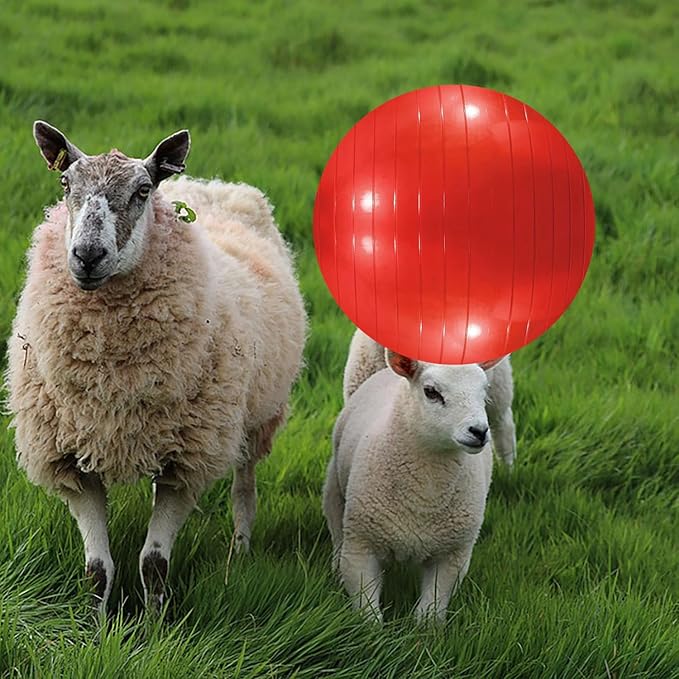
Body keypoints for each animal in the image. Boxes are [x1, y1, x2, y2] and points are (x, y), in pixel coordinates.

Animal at [5, 121, 307, 613]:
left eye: (142, 191)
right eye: (66, 184)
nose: (87, 255)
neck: (112, 380)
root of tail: (212, 184)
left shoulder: (186, 463)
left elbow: (153, 563)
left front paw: (155, 623)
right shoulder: (71, 461)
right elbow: (97, 569)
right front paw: (96, 624)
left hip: (256, 416)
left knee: (244, 487)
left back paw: (240, 551)